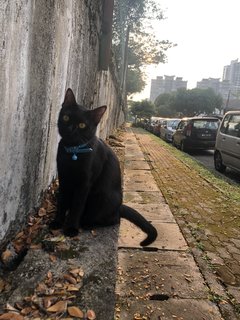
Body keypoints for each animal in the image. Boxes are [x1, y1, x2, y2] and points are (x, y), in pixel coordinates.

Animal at [49, 89, 157, 246]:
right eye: (66, 117)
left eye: (82, 125)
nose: (69, 128)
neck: (73, 153)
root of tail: (119, 206)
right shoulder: (64, 179)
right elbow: (62, 203)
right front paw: (57, 222)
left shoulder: (84, 185)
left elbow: (77, 207)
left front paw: (71, 228)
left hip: (103, 197)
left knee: (114, 219)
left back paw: (88, 223)